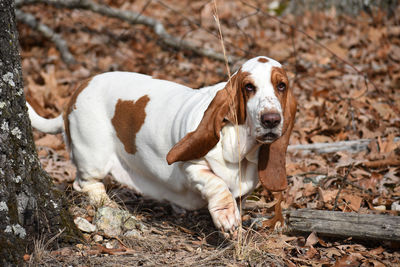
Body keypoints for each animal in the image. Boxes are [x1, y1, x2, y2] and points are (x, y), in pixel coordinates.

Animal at [27, 56, 296, 234]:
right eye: (249, 87)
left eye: (281, 86)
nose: (271, 119)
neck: (239, 144)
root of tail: (77, 91)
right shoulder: (192, 167)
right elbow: (216, 184)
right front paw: (226, 217)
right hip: (94, 158)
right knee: (85, 184)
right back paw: (109, 204)